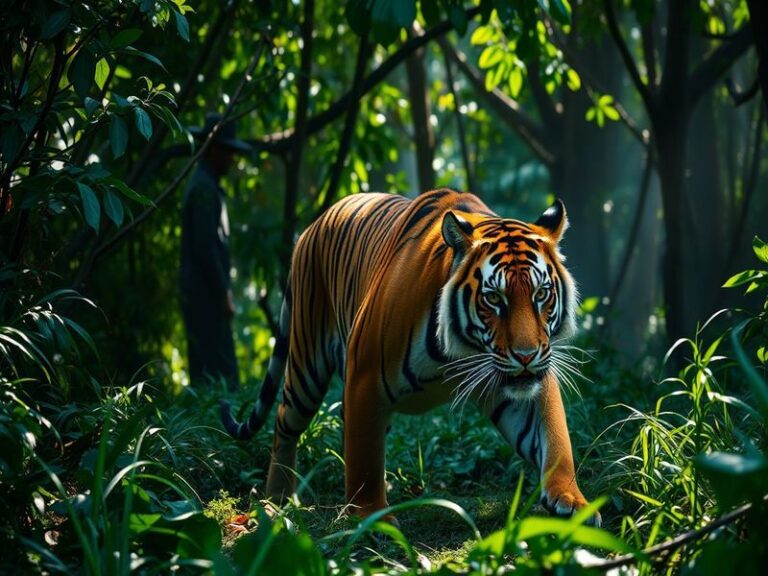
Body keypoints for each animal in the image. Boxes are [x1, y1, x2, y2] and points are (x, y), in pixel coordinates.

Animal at [221, 188, 600, 526]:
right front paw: (369, 515)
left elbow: (554, 437)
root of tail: (315, 224)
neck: (463, 351)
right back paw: (277, 499)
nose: (526, 355)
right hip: (306, 365)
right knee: (285, 423)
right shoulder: (364, 378)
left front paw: (572, 500)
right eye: (494, 298)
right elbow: (363, 458)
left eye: (541, 294)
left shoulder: (526, 381)